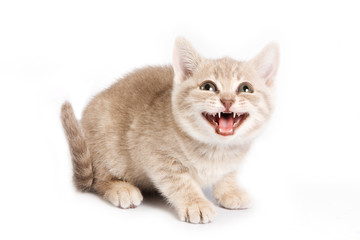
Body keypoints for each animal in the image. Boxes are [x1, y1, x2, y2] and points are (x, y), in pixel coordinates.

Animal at [61, 37, 278, 223]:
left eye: (245, 88)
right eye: (208, 86)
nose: (227, 100)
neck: (216, 149)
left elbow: (228, 174)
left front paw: (230, 190)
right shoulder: (155, 155)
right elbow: (179, 182)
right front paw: (195, 203)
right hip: (106, 144)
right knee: (98, 179)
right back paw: (120, 188)